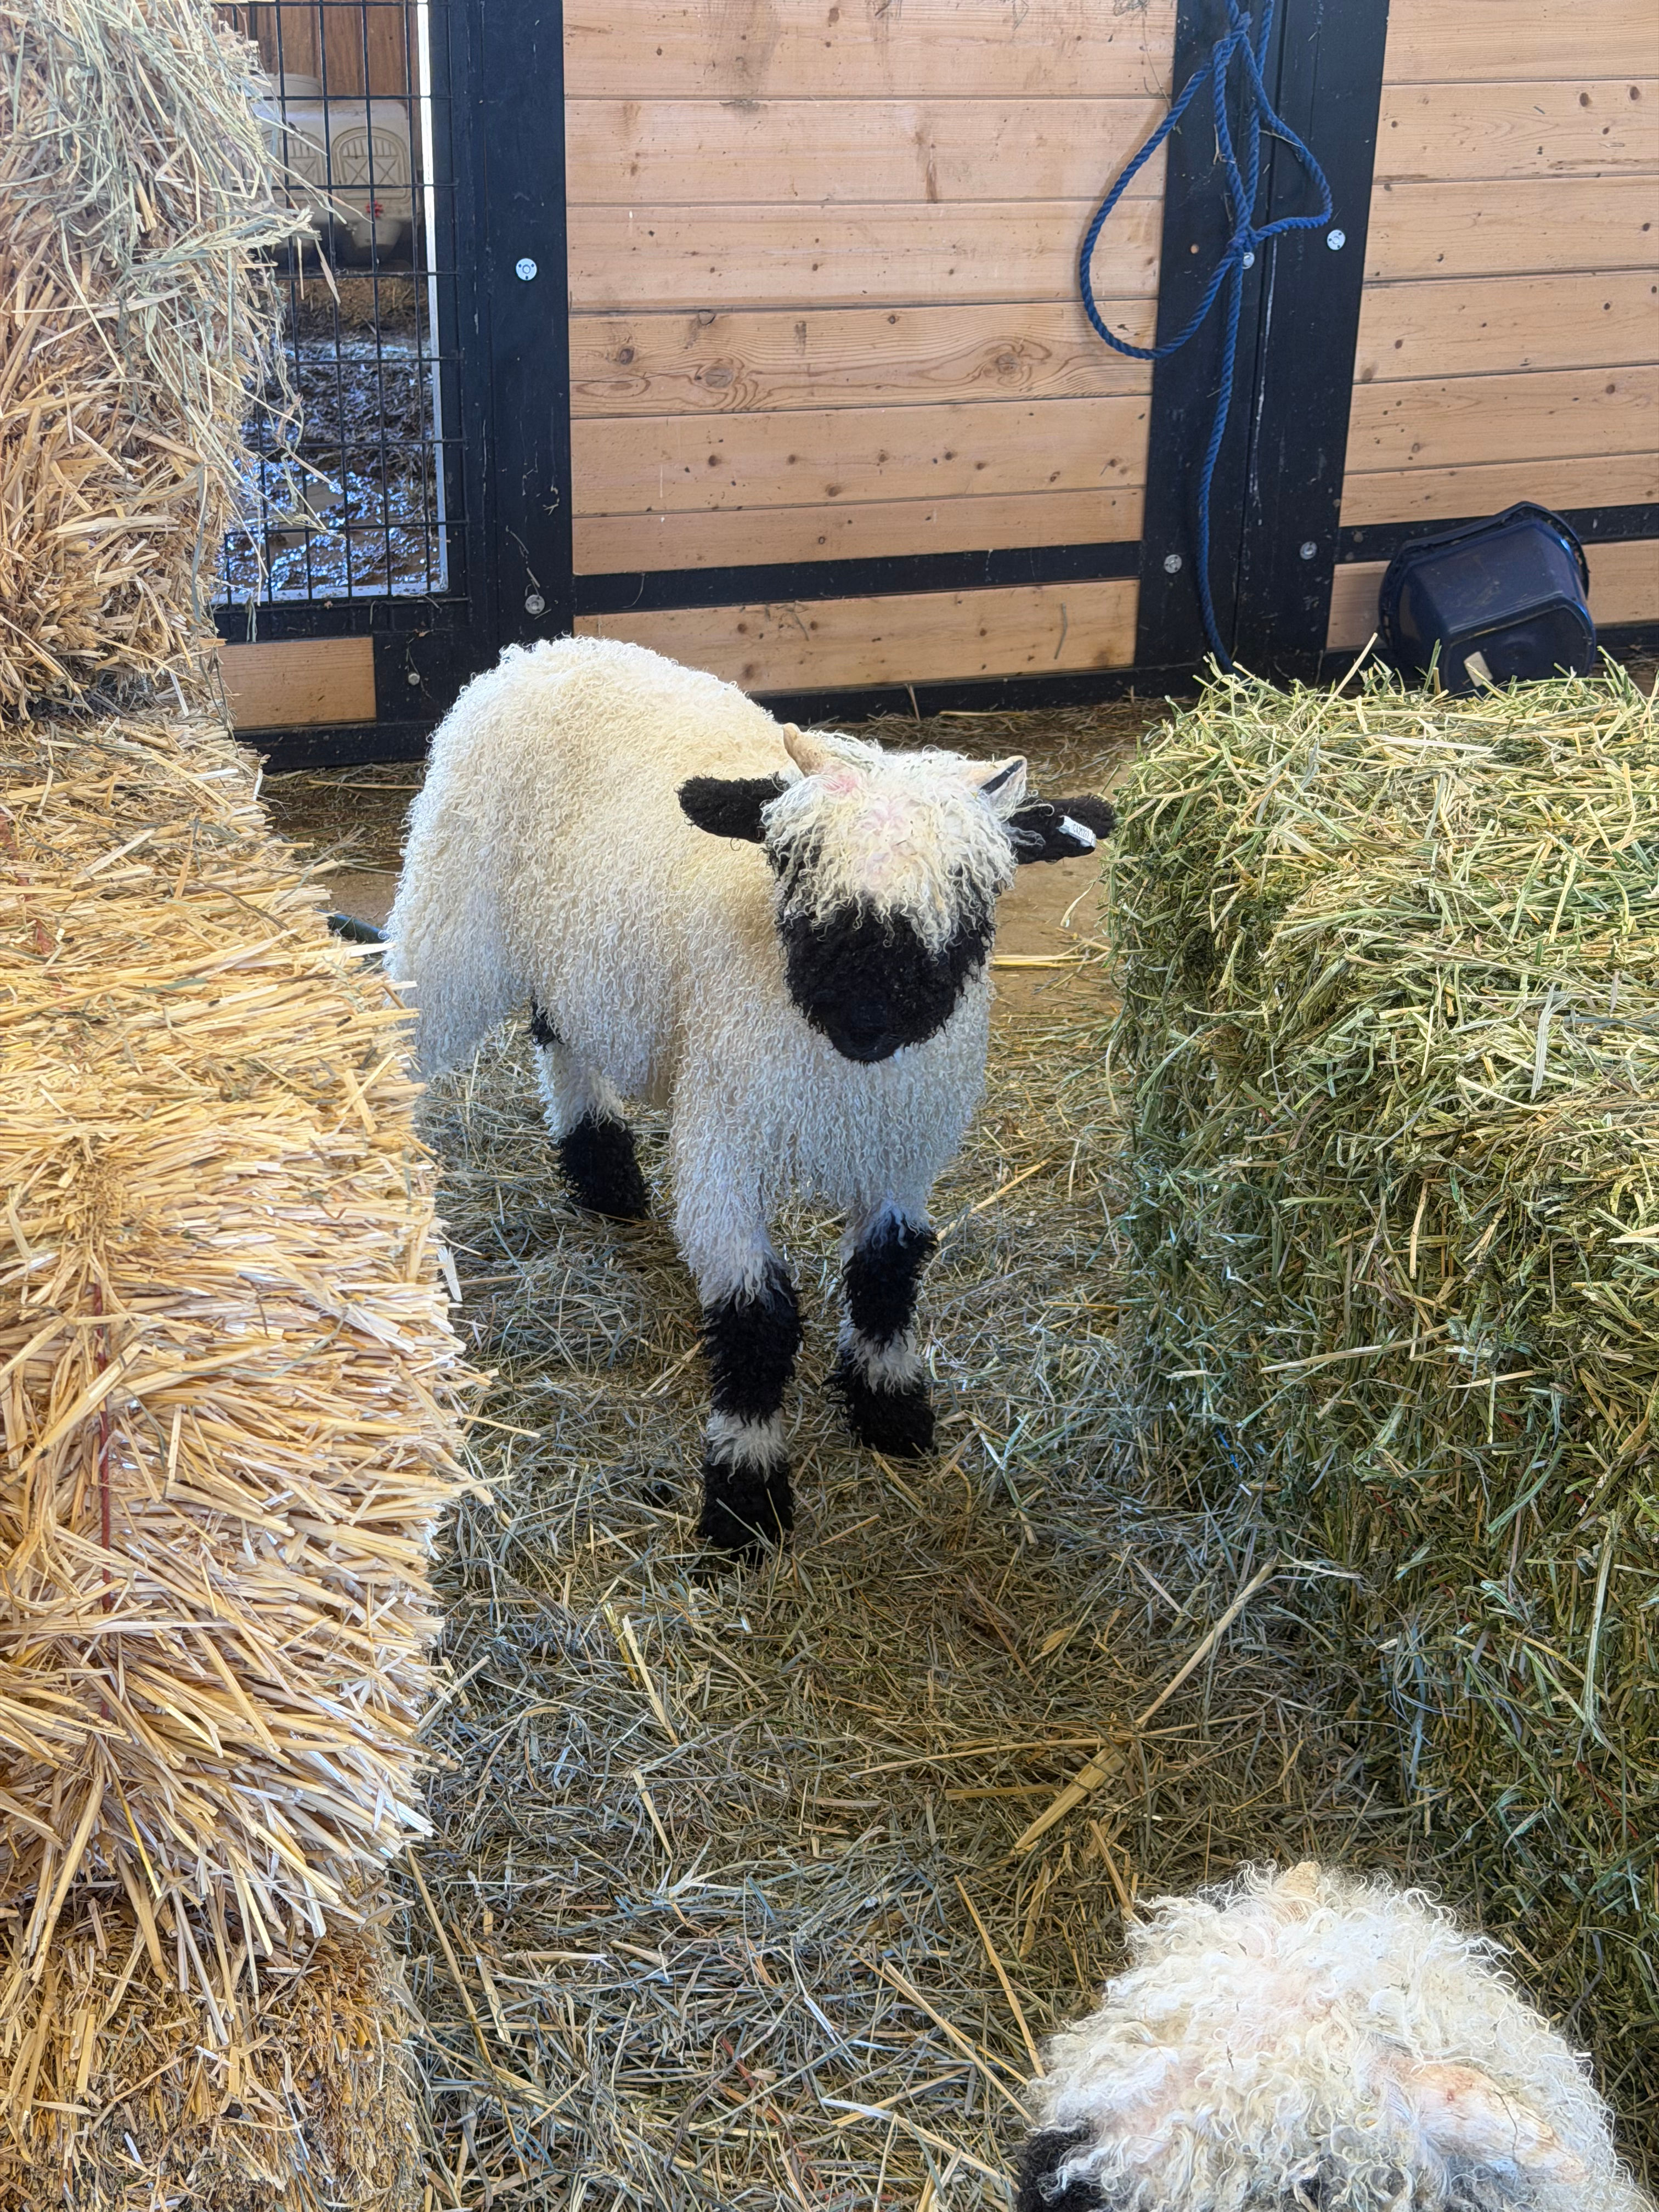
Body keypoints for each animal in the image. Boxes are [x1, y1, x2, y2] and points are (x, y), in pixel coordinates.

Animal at [386, 635, 1113, 1555]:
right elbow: (756, 1320)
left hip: (577, 948)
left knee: (558, 1029)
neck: (847, 1077)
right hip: (453, 919)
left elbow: (888, 1273)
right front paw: (745, 1493)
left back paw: (604, 1174)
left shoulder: (900, 1159)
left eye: (973, 885)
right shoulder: (725, 1155)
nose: (866, 1020)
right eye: (793, 864)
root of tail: (539, 650)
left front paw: (892, 1411)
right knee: (394, 1031)